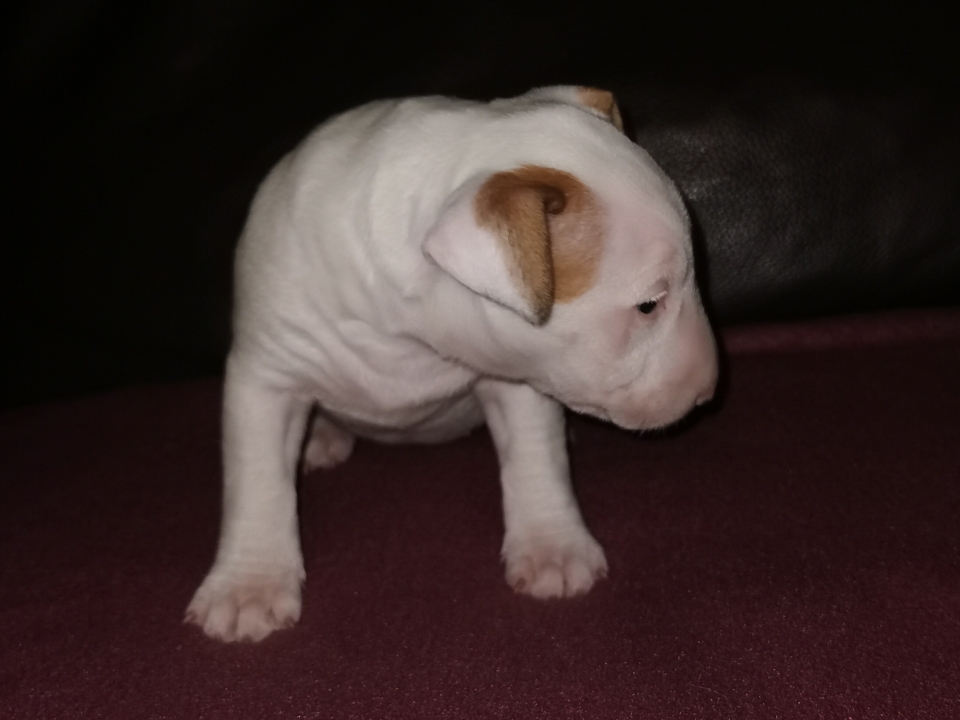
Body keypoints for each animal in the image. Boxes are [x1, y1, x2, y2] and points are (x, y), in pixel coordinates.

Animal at [185, 86, 718, 642]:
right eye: (648, 306)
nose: (708, 391)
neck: (411, 332)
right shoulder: (266, 374)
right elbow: (258, 481)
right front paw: (249, 587)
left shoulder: (518, 376)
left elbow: (536, 459)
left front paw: (553, 549)